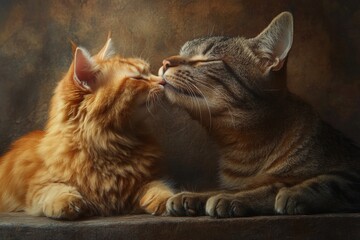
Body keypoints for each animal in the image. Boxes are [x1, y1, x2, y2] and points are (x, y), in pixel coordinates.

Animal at [0, 37, 174, 219]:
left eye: (149, 72)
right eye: (138, 78)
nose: (163, 81)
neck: (110, 145)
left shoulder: (143, 181)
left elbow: (158, 187)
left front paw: (170, 201)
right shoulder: (37, 184)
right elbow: (54, 189)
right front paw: (68, 202)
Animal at [160, 11, 360, 218]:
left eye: (206, 60)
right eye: (182, 52)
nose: (164, 62)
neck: (244, 147)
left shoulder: (352, 175)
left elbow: (301, 184)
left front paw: (284, 193)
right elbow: (224, 189)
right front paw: (195, 196)